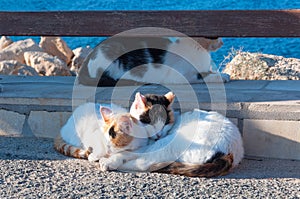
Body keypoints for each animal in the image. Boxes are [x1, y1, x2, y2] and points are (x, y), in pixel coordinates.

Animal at [97, 93, 243, 177]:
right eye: (151, 124)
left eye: (164, 125)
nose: (158, 135)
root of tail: (231, 152)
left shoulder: (147, 146)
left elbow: (126, 152)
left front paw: (110, 159)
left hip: (169, 143)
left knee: (145, 163)